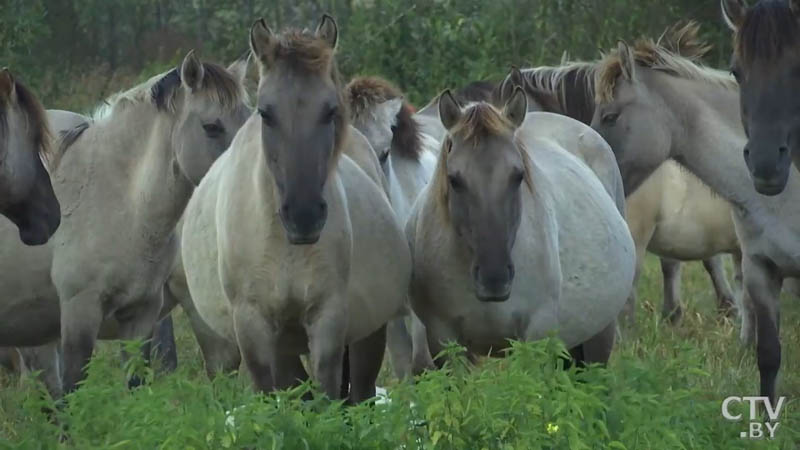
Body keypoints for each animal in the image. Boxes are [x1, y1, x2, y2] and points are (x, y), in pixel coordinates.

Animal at [183, 16, 412, 400]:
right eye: (265, 113)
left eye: (331, 110)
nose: (304, 218)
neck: (279, 241)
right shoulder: (253, 327)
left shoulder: (328, 319)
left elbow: (328, 399)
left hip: (367, 335)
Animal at [410, 89, 636, 366]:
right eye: (454, 180)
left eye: (518, 176)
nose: (494, 278)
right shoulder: (444, 341)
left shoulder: (536, 335)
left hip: (599, 336)